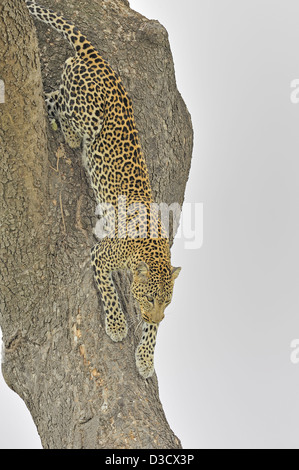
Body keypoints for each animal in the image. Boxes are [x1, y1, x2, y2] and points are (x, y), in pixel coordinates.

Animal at [25, 0, 180, 378]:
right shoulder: (100, 254)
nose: (158, 315)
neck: (148, 254)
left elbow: (152, 332)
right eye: (150, 298)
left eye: (167, 301)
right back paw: (69, 135)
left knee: (51, 95)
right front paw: (117, 325)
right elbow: (109, 291)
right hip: (90, 112)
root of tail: (97, 58)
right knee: (63, 104)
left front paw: (146, 357)